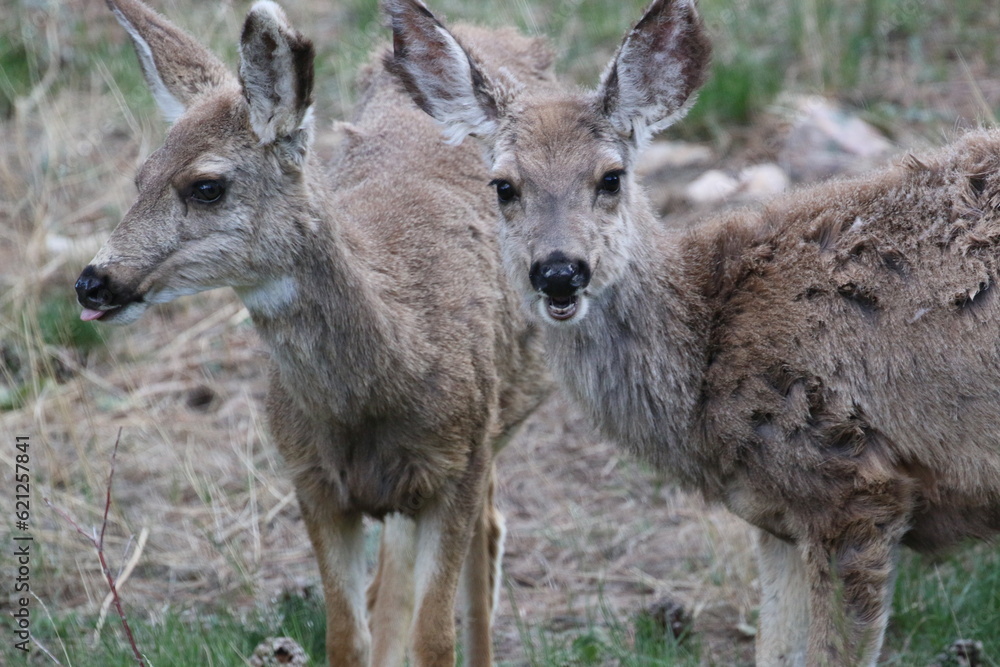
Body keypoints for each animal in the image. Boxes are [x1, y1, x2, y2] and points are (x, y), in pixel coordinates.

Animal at [73, 2, 552, 664]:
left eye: (206, 186)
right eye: (140, 176)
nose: (92, 283)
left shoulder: (460, 466)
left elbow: (436, 638)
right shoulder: (312, 481)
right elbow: (347, 636)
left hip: (501, 423)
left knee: (487, 541)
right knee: (393, 586)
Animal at [390, 0, 1000, 664]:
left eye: (610, 177)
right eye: (503, 186)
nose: (558, 271)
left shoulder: (851, 489)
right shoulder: (778, 518)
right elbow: (774, 650)